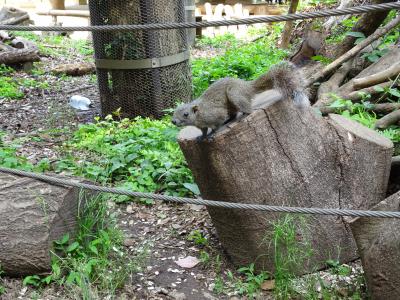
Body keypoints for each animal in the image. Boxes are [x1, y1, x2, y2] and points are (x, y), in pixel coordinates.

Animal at [172, 61, 310, 141]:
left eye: (186, 114)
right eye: (174, 113)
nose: (173, 121)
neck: (199, 115)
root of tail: (247, 87)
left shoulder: (214, 114)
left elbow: (216, 125)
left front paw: (211, 134)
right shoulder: (201, 125)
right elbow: (204, 130)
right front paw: (201, 136)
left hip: (235, 95)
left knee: (247, 109)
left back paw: (244, 115)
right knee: (233, 114)